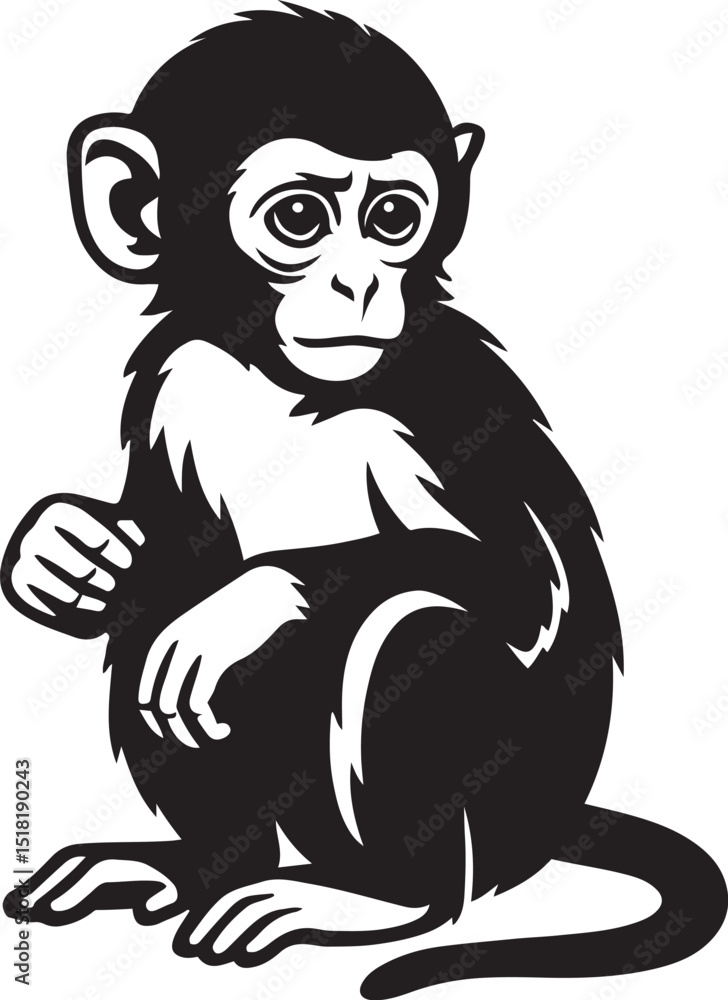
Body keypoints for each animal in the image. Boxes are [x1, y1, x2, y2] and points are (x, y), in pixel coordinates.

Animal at [2, 6, 726, 999]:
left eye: (392, 218)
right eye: (301, 218)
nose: (358, 283)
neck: (278, 375)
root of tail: (549, 824)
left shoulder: (433, 398)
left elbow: (519, 586)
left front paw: (254, 598)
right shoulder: (181, 380)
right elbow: (156, 546)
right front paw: (55, 548)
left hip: (492, 830)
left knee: (411, 624)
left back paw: (382, 900)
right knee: (154, 611)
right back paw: (201, 868)